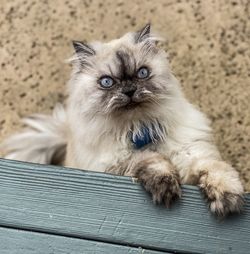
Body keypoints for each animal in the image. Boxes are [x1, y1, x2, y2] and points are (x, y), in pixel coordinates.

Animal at [0, 23, 243, 215]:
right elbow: (149, 160)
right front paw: (165, 187)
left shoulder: (190, 152)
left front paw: (227, 198)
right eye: (107, 82)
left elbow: (214, 168)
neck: (138, 127)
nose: (129, 90)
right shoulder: (118, 164)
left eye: (142, 73)